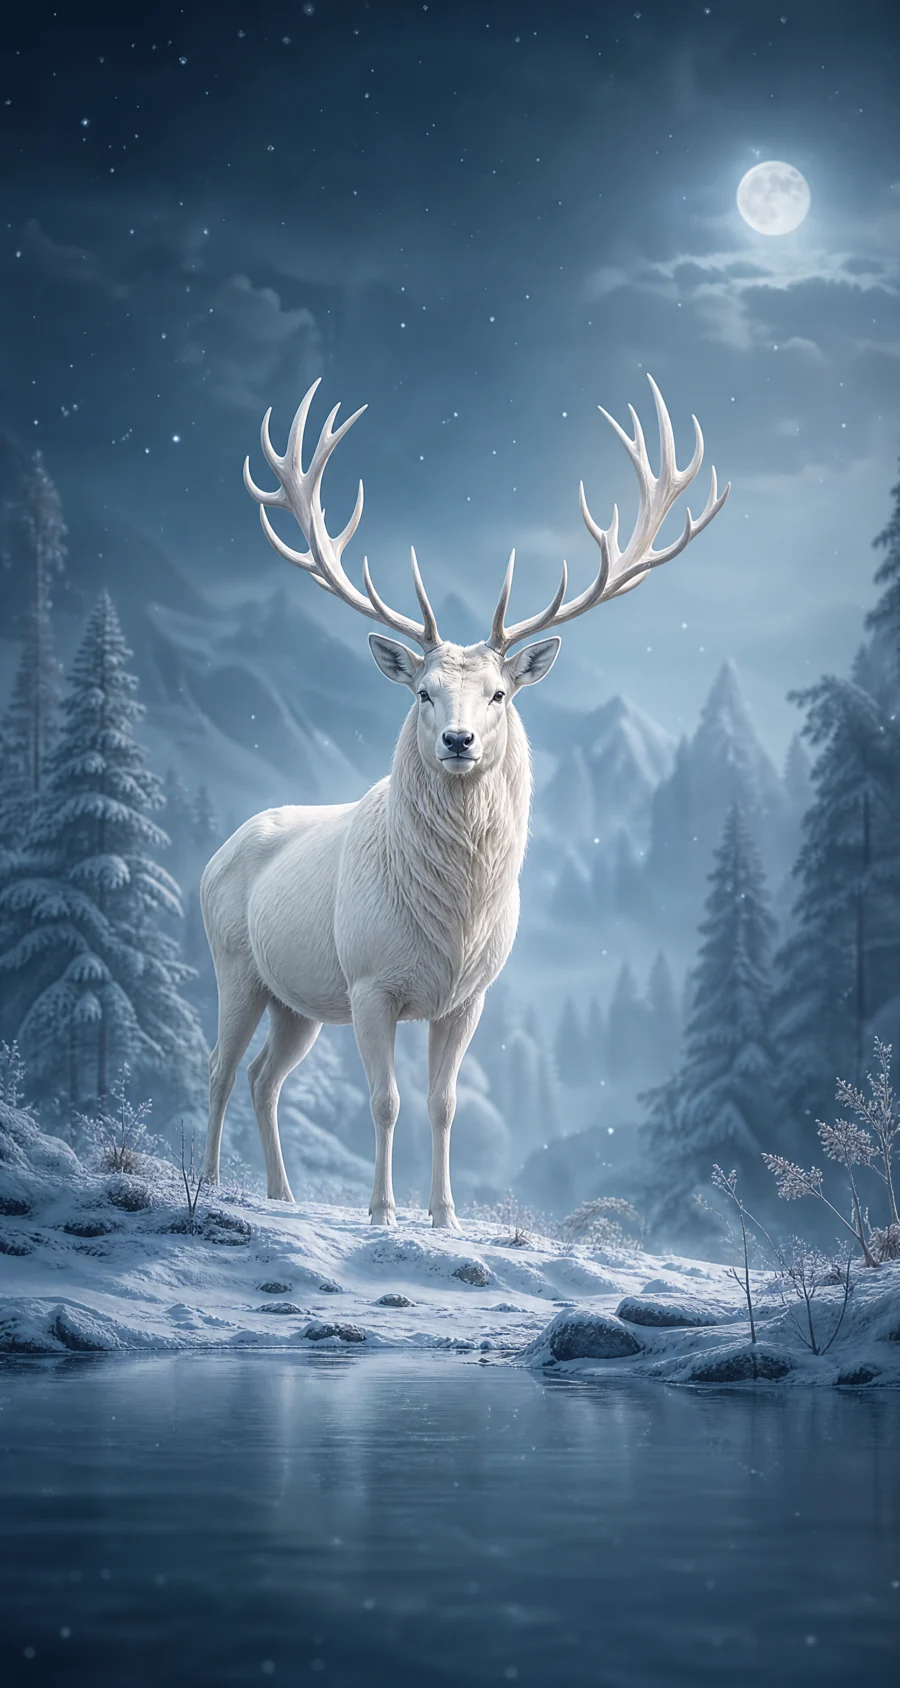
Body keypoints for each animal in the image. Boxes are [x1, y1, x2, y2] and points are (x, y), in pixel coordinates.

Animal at [199, 376, 729, 1226]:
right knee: (219, 1066)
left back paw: (281, 1194)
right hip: (236, 965)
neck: (455, 918)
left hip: (298, 1000)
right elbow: (384, 1102)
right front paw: (382, 1212)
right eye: (422, 691)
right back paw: (214, 1182)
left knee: (262, 1078)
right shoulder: (372, 982)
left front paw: (444, 1215)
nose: (458, 740)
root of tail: (216, 852)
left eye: (500, 694)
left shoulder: (468, 997)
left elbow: (443, 1104)